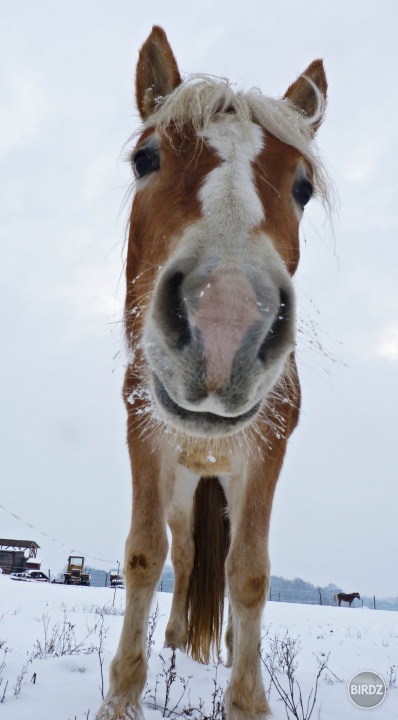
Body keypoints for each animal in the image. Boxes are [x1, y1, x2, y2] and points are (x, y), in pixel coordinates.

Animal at [98, 25, 332, 720]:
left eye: (303, 188)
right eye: (145, 158)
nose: (226, 317)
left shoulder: (265, 455)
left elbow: (249, 572)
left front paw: (247, 700)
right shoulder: (146, 442)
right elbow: (146, 555)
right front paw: (122, 696)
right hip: (184, 484)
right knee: (187, 550)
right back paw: (177, 643)